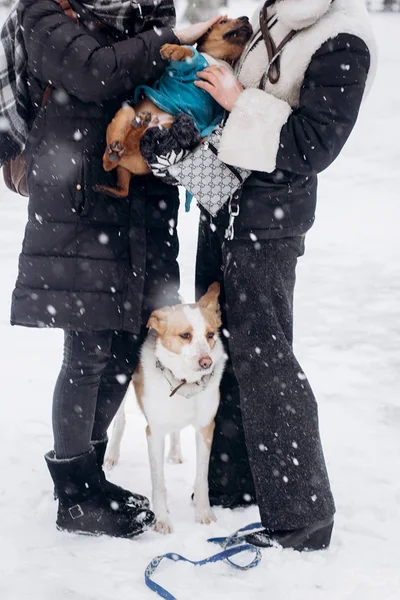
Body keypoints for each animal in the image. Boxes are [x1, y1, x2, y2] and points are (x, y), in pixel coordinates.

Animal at [95, 16, 252, 198]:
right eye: (223, 21)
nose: (246, 18)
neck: (221, 61)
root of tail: (123, 163)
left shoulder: (219, 109)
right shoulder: (179, 70)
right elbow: (190, 54)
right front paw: (174, 49)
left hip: (158, 136)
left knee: (126, 155)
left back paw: (139, 128)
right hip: (126, 112)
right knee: (108, 161)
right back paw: (126, 138)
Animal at [104, 284, 227, 532]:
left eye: (210, 335)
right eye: (185, 335)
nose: (206, 362)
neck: (185, 384)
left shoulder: (205, 427)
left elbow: (201, 479)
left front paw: (204, 514)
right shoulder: (154, 432)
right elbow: (159, 483)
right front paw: (161, 519)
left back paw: (175, 452)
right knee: (120, 420)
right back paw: (111, 455)